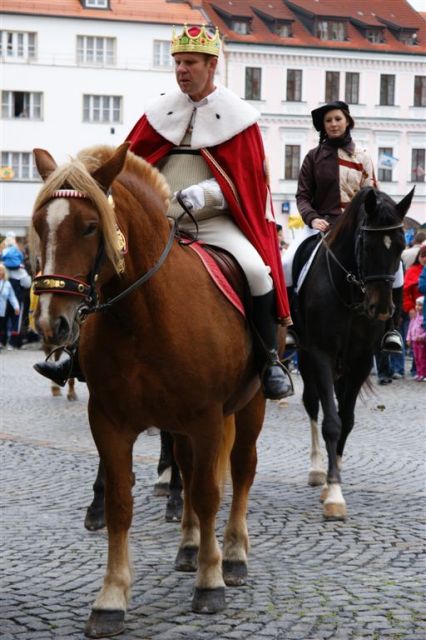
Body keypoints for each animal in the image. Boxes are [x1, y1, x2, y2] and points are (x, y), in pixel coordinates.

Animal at [32, 142, 272, 636]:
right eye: (40, 225)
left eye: (89, 226)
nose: (50, 323)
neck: (143, 315)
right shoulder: (110, 422)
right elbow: (120, 504)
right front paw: (110, 598)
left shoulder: (206, 419)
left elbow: (209, 493)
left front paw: (210, 582)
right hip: (179, 425)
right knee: (187, 470)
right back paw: (190, 547)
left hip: (249, 405)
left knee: (241, 470)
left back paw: (233, 554)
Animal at [292, 185, 414, 520]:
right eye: (367, 245)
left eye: (401, 246)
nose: (382, 309)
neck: (349, 292)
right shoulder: (320, 353)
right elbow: (331, 421)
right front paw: (333, 492)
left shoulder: (360, 360)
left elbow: (346, 419)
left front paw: (335, 478)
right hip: (306, 357)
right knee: (312, 404)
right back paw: (317, 469)